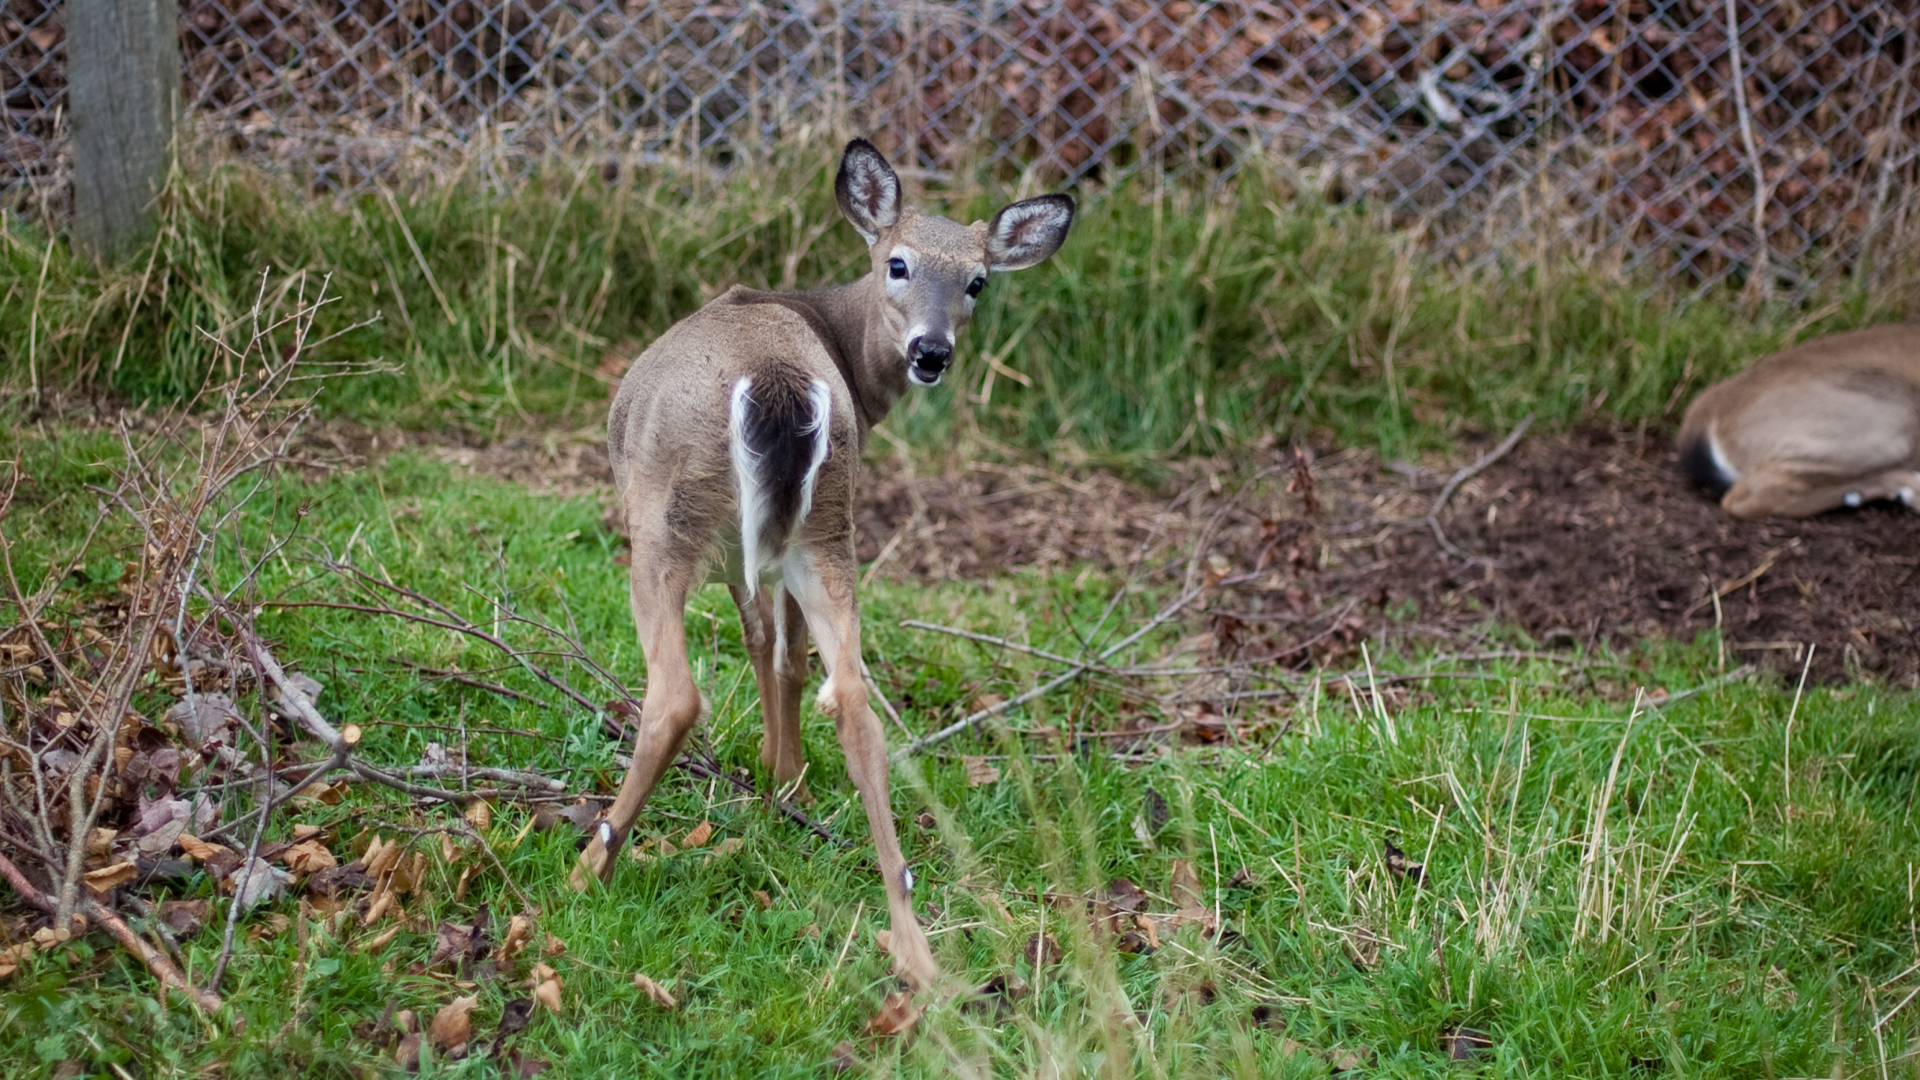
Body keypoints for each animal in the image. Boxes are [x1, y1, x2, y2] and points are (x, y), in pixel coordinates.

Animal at [576, 134, 1075, 983]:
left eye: (976, 280)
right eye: (898, 263)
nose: (932, 351)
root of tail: (779, 381)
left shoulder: (740, 552)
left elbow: (760, 642)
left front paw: (774, 771)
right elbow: (787, 654)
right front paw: (787, 781)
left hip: (672, 519)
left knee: (676, 691)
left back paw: (589, 863)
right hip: (827, 525)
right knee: (853, 696)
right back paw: (913, 946)